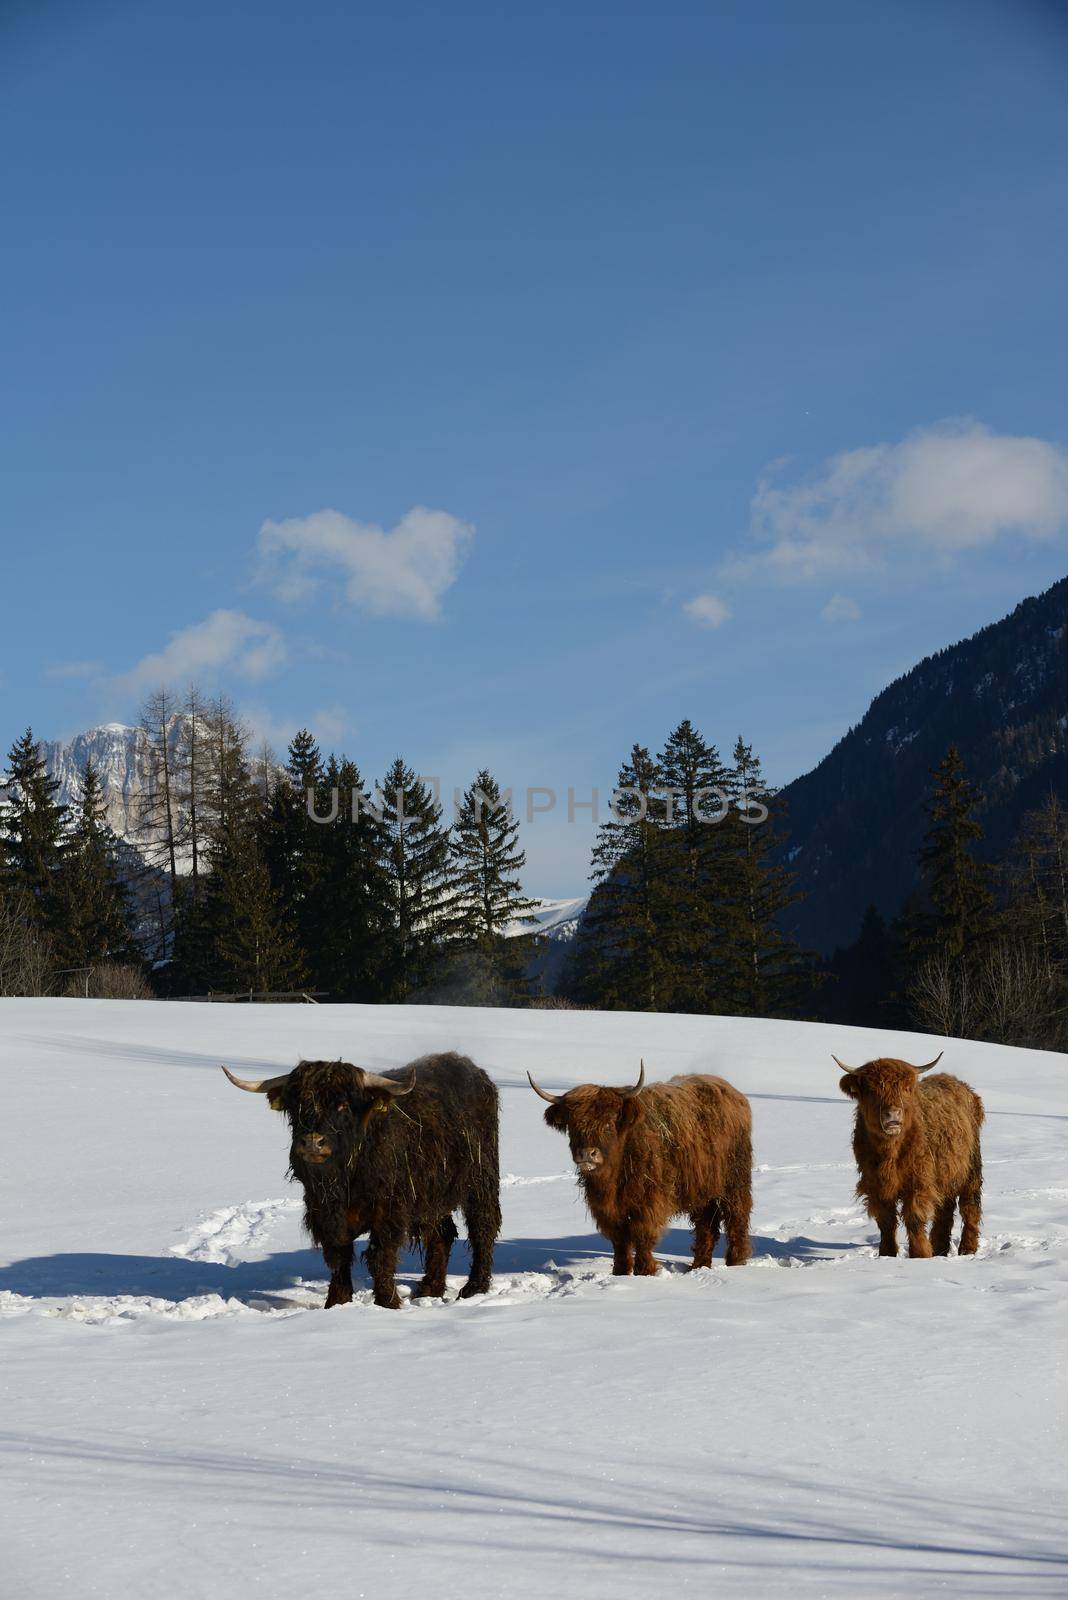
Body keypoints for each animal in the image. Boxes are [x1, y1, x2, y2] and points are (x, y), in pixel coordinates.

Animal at [225, 1056, 502, 1305]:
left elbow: (380, 1257)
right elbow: (338, 1256)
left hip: (481, 1180)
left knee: (482, 1227)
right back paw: (429, 1290)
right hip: (431, 1196)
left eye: (343, 1105)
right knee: (441, 1234)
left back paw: (474, 1288)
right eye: (298, 1105)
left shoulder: (389, 1212)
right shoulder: (325, 1212)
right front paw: (337, 1303)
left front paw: (387, 1303)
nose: (313, 1142)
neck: (344, 1180)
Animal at [524, 1062, 751, 1273]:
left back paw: (736, 1263)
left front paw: (645, 1272)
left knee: (736, 1218)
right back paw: (699, 1266)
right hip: (702, 1189)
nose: (587, 1154)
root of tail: (732, 1092)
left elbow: (642, 1235)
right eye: (573, 1126)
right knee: (706, 1226)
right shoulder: (608, 1211)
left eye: (608, 1124)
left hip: (735, 1180)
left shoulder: (649, 1202)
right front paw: (620, 1272)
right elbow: (620, 1241)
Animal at [831, 1049, 984, 1260]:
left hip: (971, 1166)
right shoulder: (876, 1185)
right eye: (871, 1090)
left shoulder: (919, 1181)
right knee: (945, 1210)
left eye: (905, 1088)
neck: (889, 1152)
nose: (893, 1114)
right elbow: (886, 1221)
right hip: (945, 1172)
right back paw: (940, 1249)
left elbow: (914, 1217)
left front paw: (920, 1255)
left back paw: (967, 1250)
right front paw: (887, 1254)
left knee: (970, 1206)